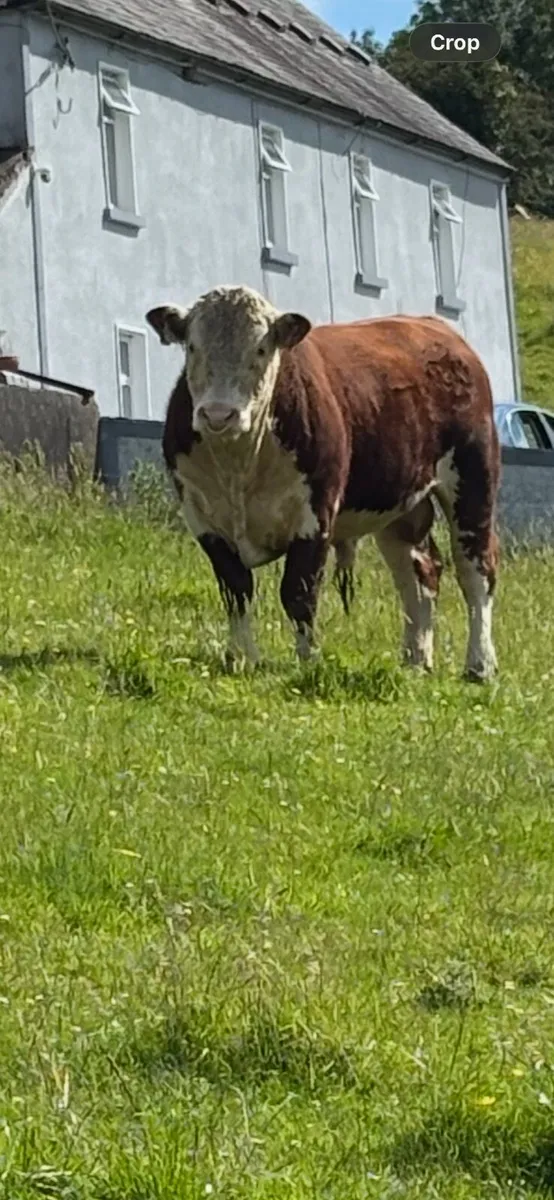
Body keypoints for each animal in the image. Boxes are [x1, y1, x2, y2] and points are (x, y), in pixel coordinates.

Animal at [146, 286, 500, 681]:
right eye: (192, 346)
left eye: (261, 348)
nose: (218, 414)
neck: (238, 464)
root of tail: (437, 329)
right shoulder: (203, 519)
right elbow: (236, 589)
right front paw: (241, 658)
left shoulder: (315, 516)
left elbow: (299, 593)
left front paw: (307, 660)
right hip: (401, 505)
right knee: (418, 572)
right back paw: (415, 659)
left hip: (473, 478)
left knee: (476, 570)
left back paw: (479, 665)